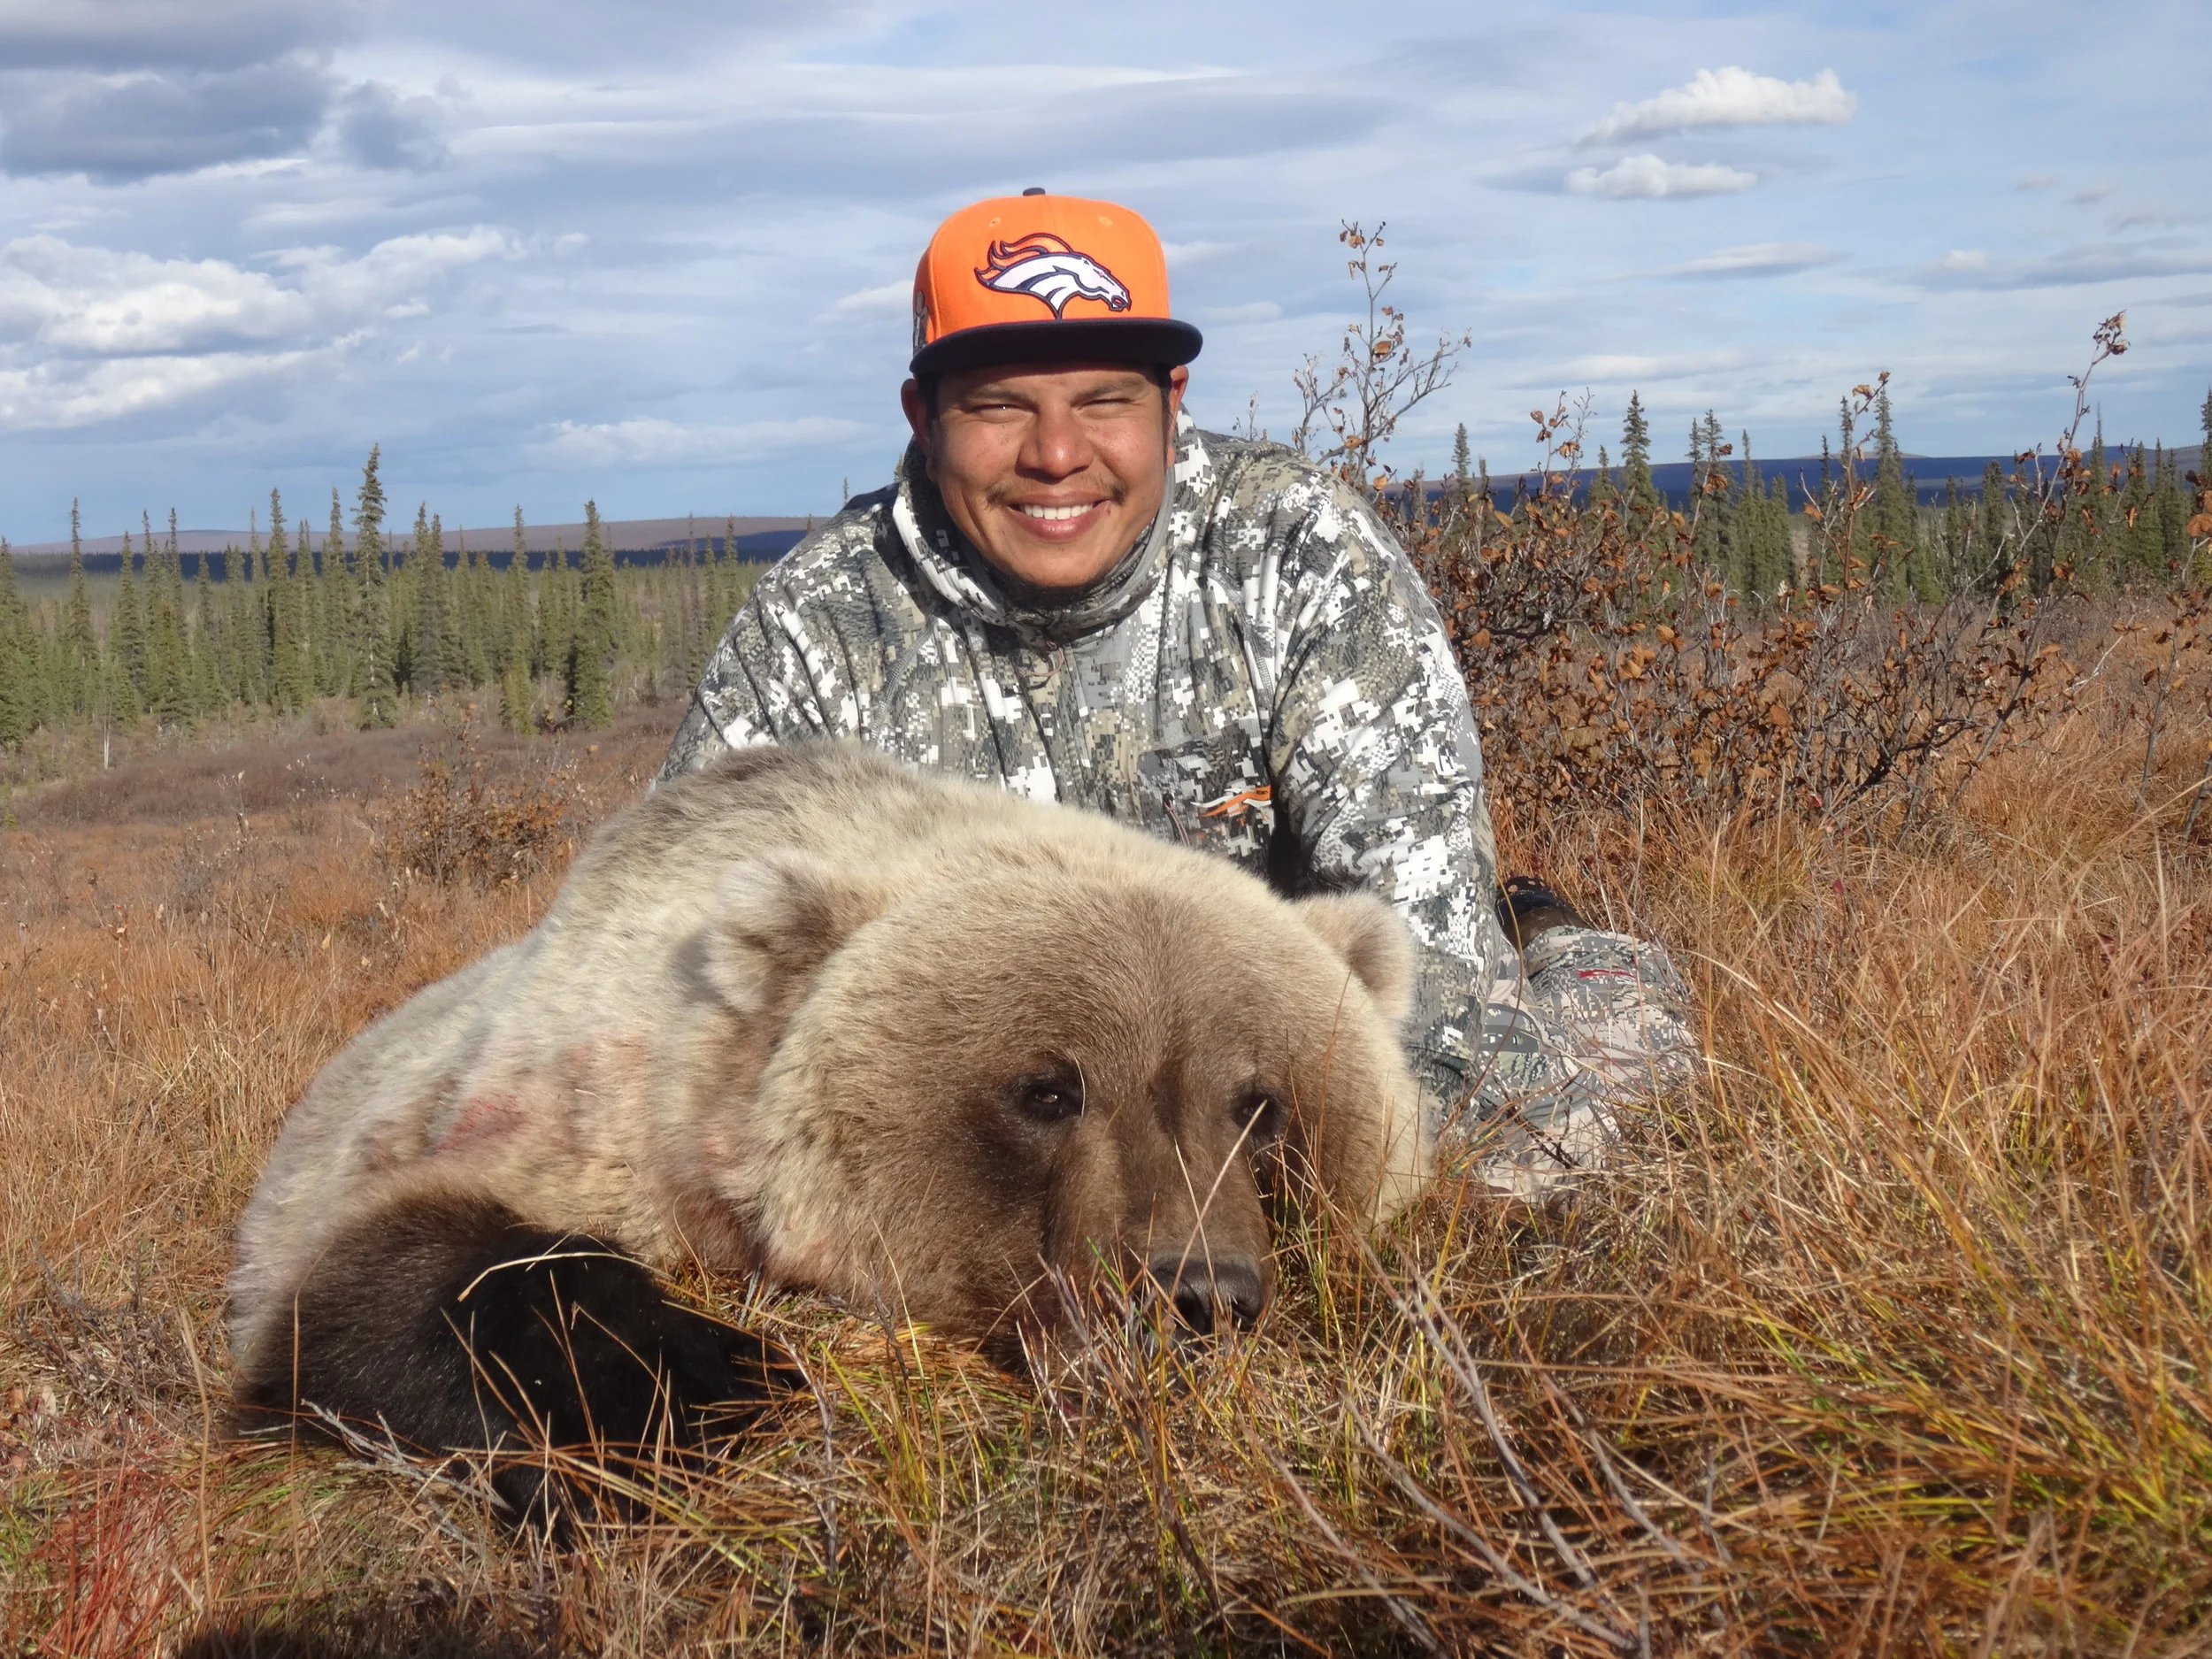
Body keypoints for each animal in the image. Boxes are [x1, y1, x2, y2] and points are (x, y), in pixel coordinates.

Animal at [228, 741, 1429, 1521]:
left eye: (1260, 1104)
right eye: (1049, 1089)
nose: (1198, 1297)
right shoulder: (571, 1101)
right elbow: (379, 1284)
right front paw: (704, 1383)